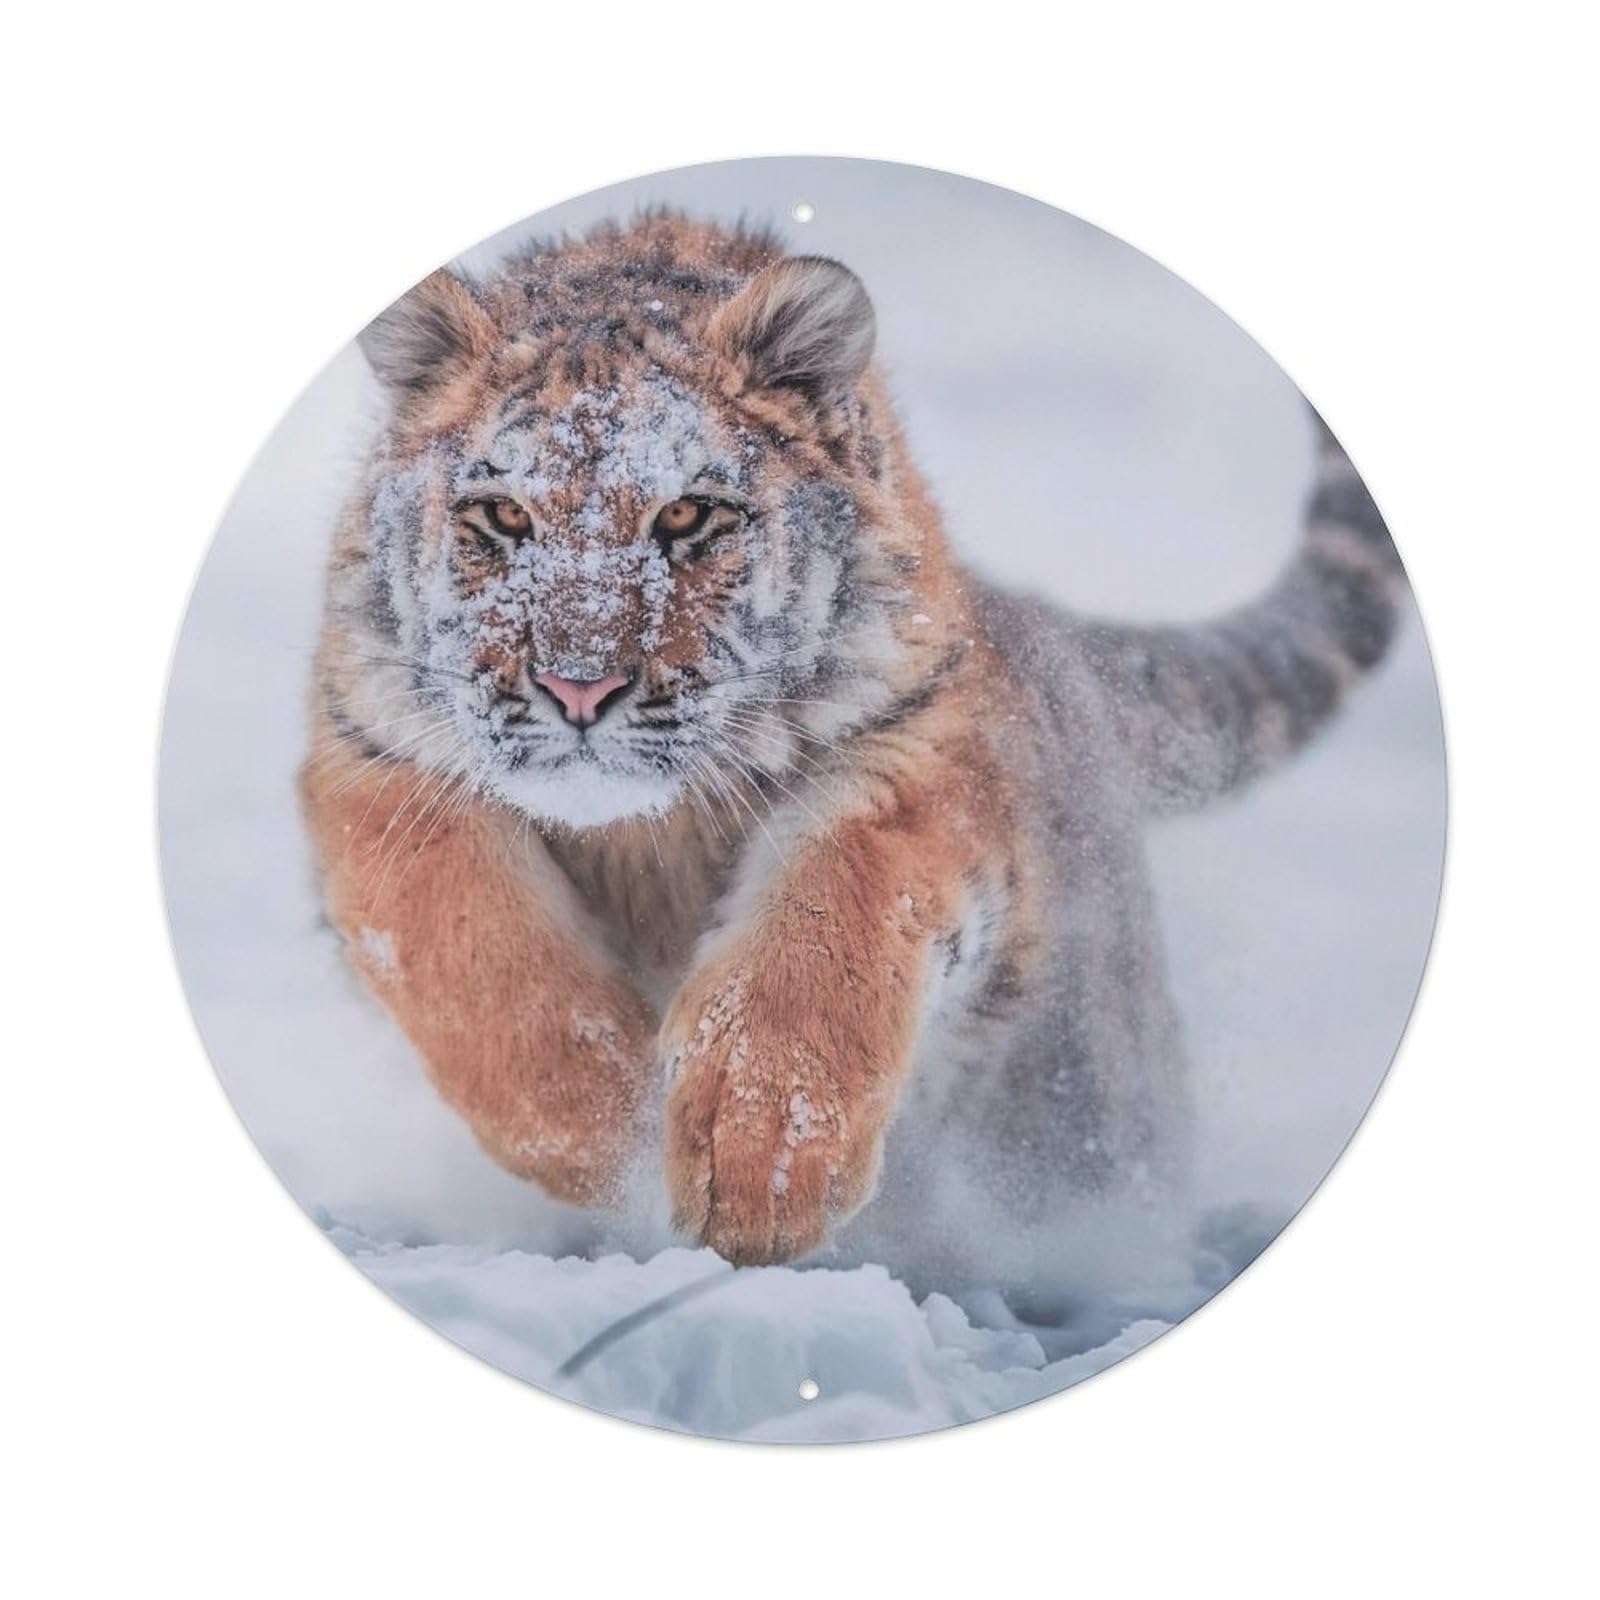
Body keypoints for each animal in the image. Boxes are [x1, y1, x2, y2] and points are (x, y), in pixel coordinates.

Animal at [302, 213, 1404, 1269]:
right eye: (501, 514)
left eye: (687, 514)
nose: (580, 685)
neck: (644, 835)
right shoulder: (375, 758)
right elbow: (465, 942)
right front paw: (607, 1131)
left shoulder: (912, 754)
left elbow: (828, 922)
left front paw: (758, 1168)